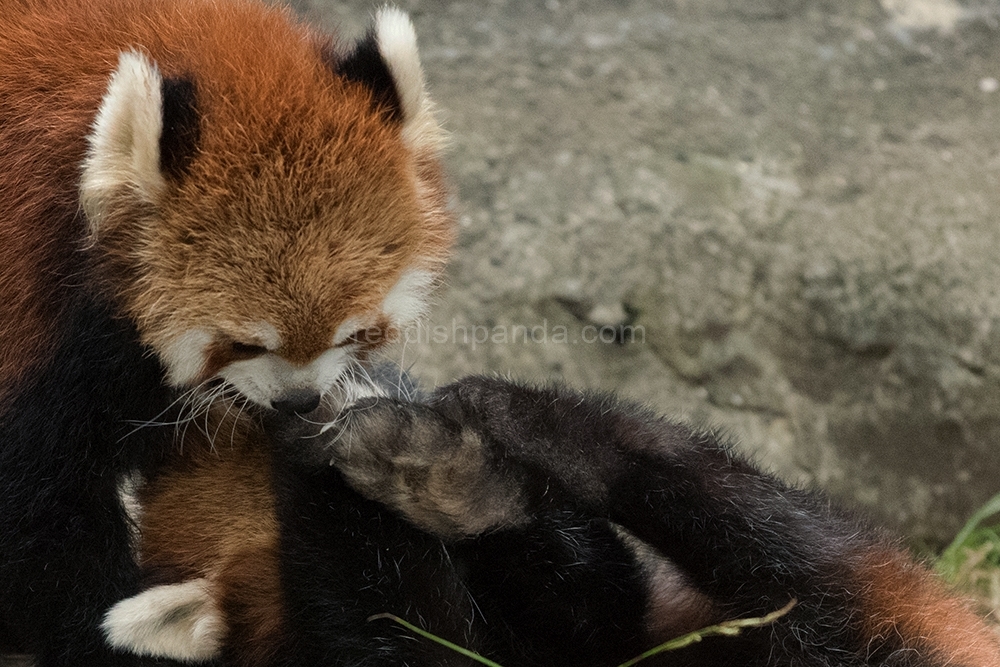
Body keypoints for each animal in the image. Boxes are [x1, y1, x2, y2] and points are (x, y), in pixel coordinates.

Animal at [101, 376, 1000, 667]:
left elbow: (598, 585)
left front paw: (459, 478)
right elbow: (417, 639)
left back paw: (515, 420)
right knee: (789, 549)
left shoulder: (600, 616)